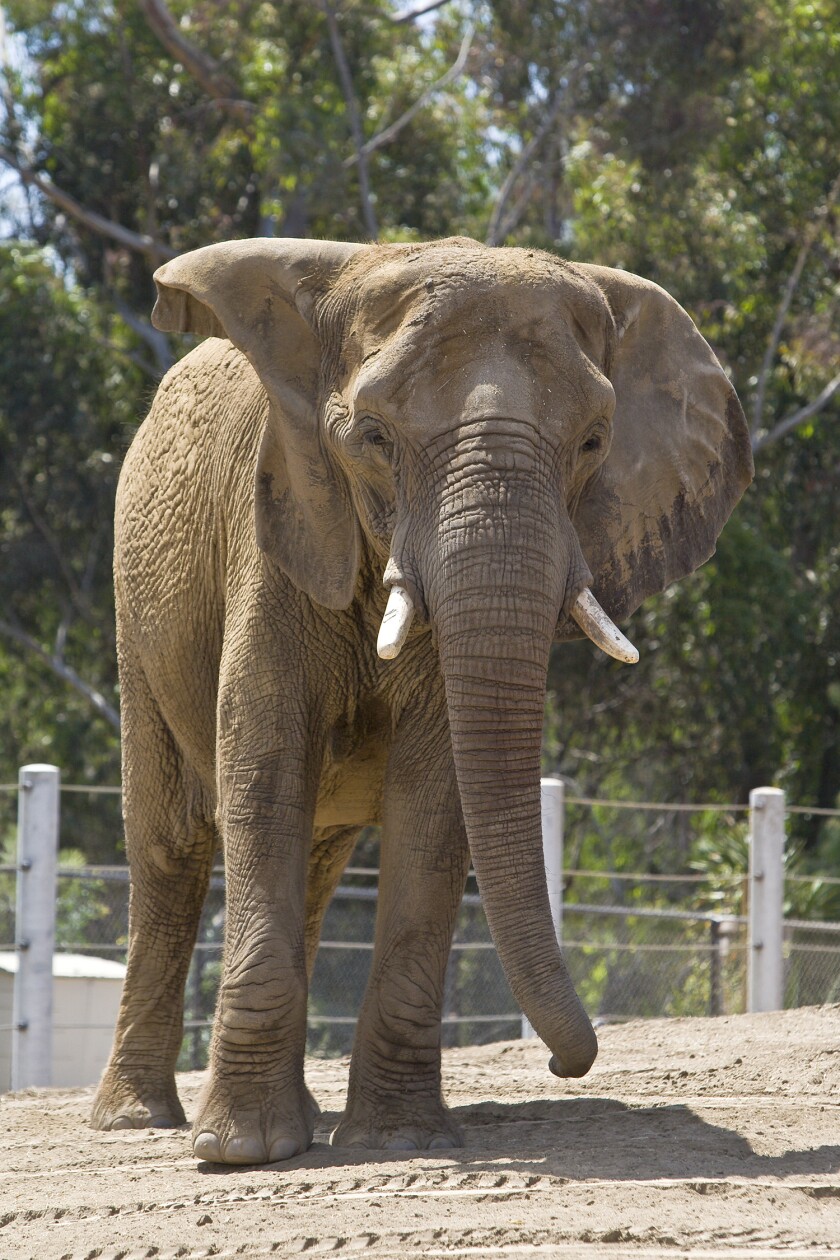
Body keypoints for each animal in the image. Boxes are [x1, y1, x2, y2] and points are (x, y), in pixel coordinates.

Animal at [91, 235, 753, 1164]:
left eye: (594, 440)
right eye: (373, 438)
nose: (568, 1064)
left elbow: (436, 800)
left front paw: (397, 1140)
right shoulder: (281, 536)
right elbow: (263, 773)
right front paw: (241, 1153)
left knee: (312, 861)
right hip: (136, 609)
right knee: (169, 848)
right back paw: (137, 1121)